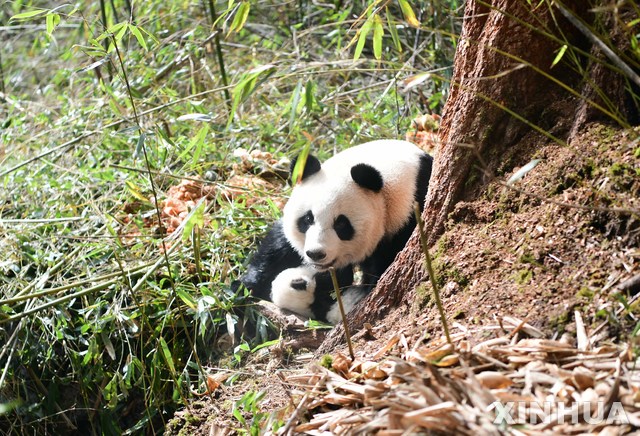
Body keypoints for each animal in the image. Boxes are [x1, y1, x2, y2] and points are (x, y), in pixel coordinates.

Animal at [242, 140, 432, 324]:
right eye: (308, 219)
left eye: (341, 224)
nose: (315, 254)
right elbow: (279, 247)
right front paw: (246, 288)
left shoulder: (407, 216)